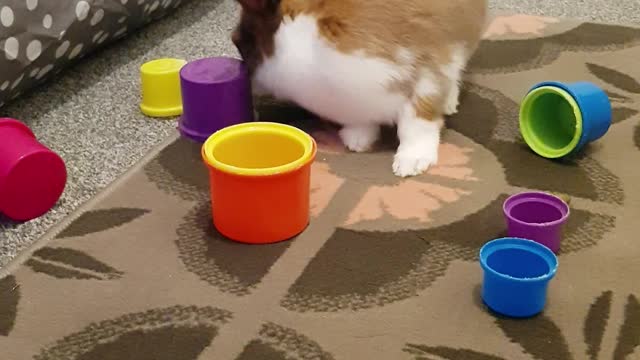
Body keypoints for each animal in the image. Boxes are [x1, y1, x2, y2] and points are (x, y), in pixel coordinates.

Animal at [232, 0, 488, 177]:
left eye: (240, 42)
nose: (246, 79)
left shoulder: (425, 74)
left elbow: (415, 126)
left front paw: (410, 163)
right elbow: (361, 121)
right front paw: (357, 140)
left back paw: (450, 102)